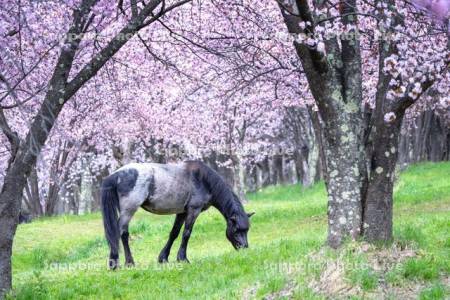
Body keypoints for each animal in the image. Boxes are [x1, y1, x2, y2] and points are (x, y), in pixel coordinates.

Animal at [101, 161, 253, 268]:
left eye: (246, 230)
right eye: (236, 230)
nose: (245, 248)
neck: (203, 180)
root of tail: (116, 175)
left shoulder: (182, 213)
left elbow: (174, 233)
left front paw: (163, 258)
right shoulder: (193, 210)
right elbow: (186, 233)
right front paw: (183, 258)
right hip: (129, 210)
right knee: (122, 232)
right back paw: (124, 263)